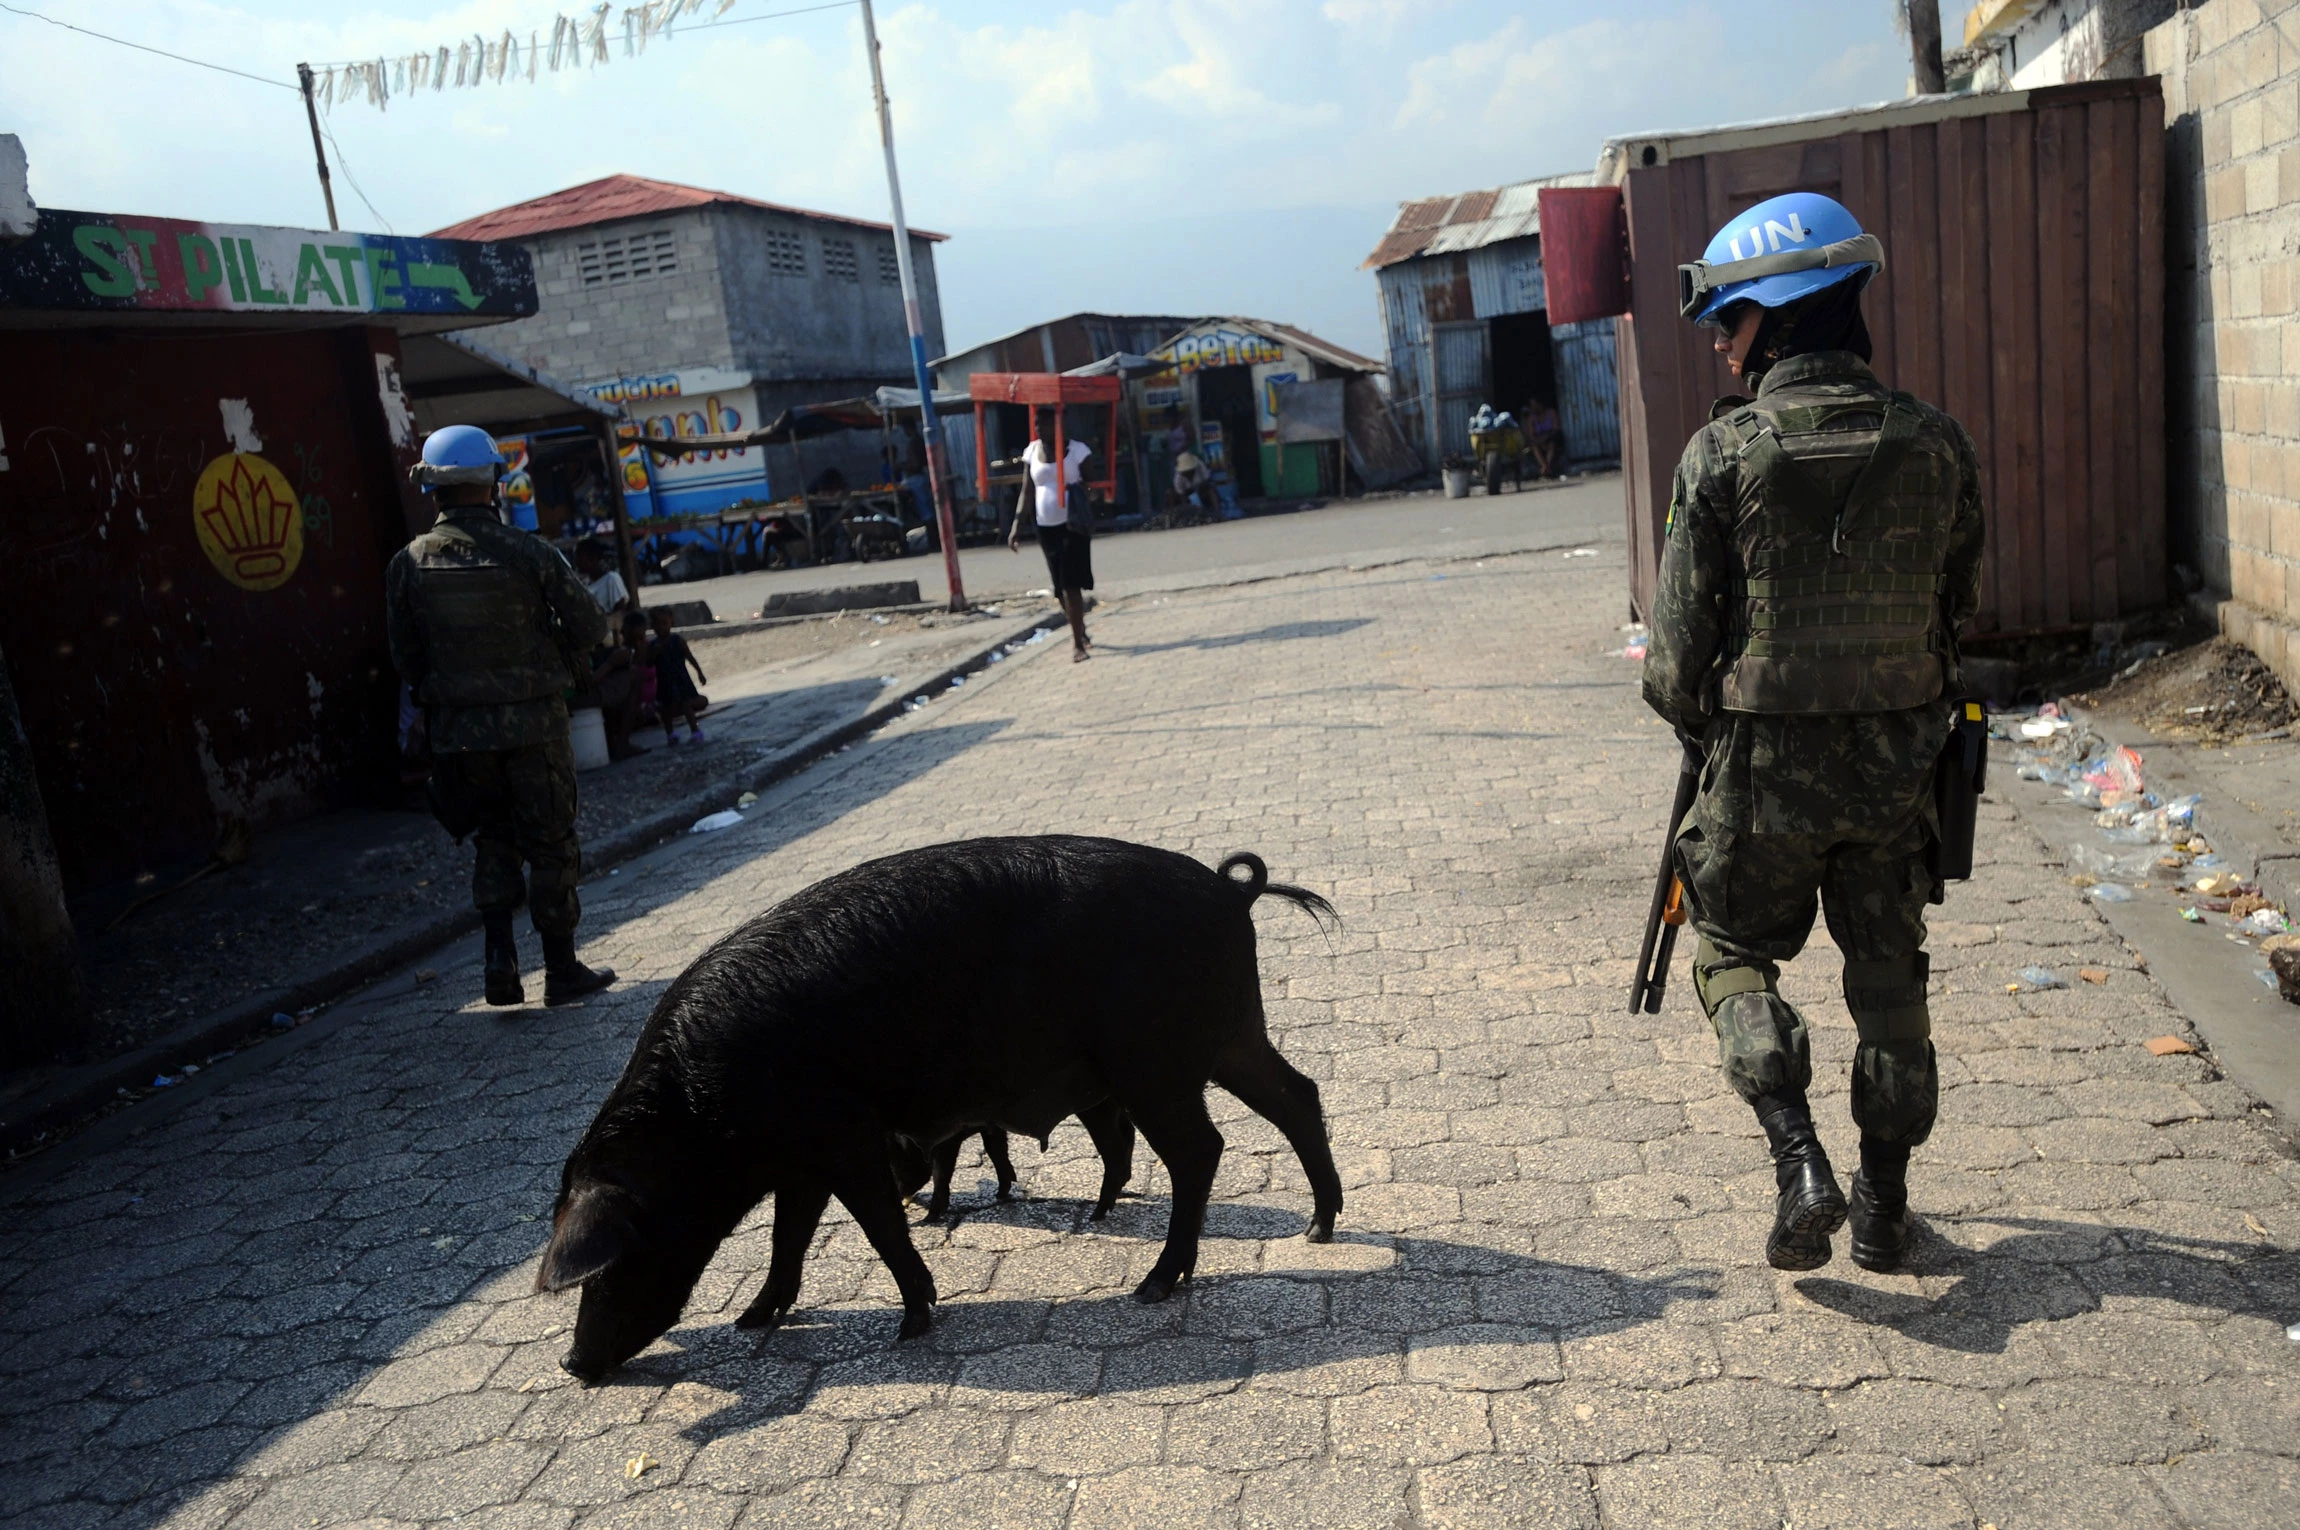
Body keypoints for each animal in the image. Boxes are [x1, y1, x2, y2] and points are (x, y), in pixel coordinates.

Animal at [535, 837, 1343, 1380]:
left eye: (606, 1265)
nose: (572, 1364)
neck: (700, 1120)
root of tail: (1229, 893)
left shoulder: (844, 1134)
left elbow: (878, 1224)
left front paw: (913, 1324)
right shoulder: (803, 1154)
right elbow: (789, 1237)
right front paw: (751, 1318)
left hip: (1154, 1061)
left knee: (1203, 1150)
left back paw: (1152, 1286)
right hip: (1231, 1035)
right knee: (1298, 1096)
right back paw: (1316, 1229)